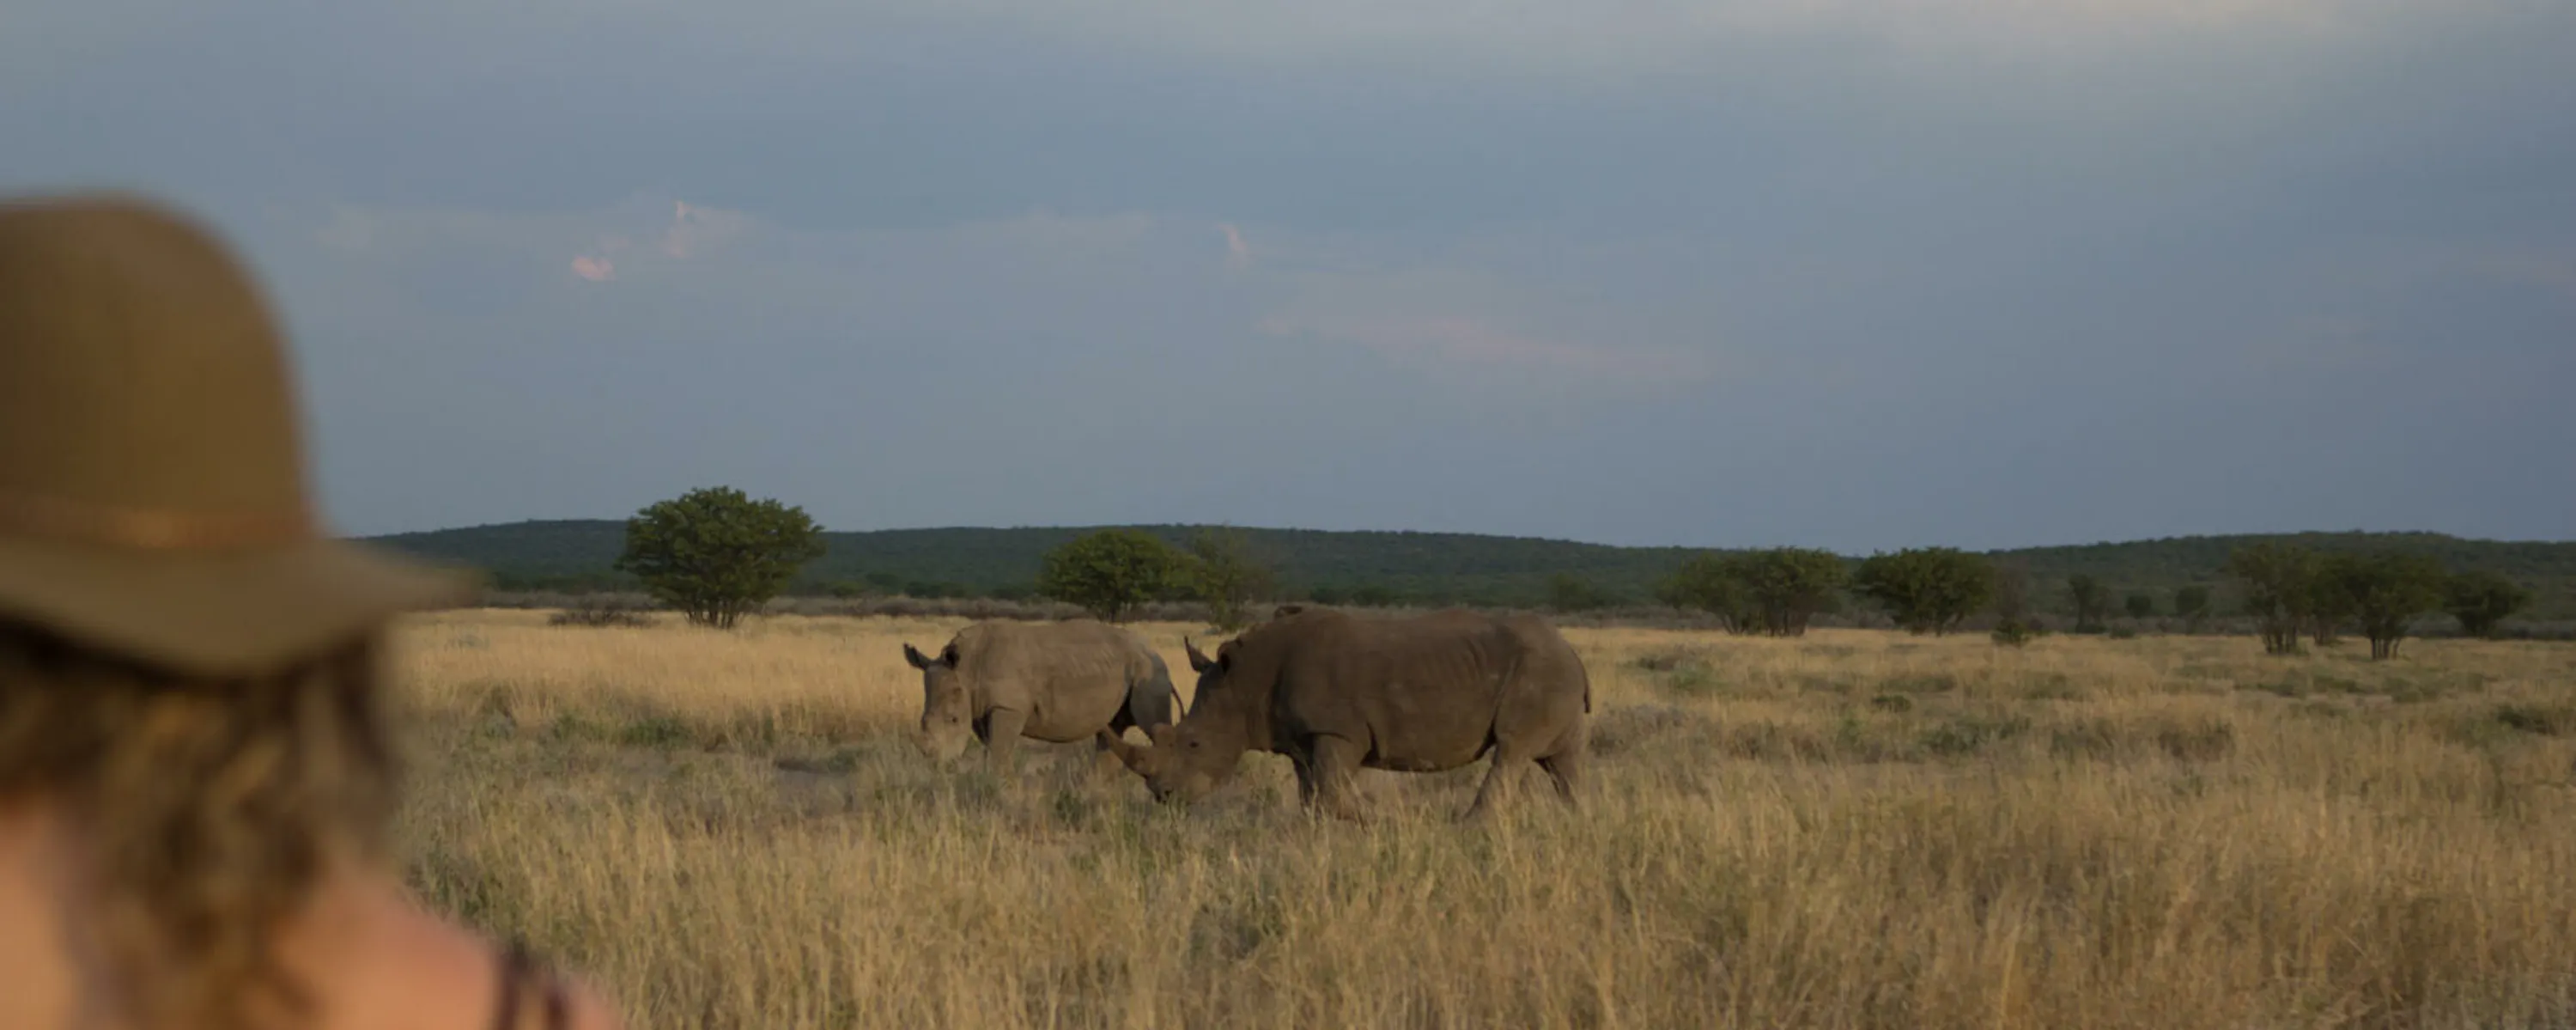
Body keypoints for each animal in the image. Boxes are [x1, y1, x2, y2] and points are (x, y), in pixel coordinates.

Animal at [901, 619, 1181, 774]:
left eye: (953, 720)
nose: (941, 766)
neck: (967, 667)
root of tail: (1155, 652)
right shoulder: (981, 707)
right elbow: (991, 749)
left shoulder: (1008, 707)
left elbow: (999, 751)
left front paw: (1003, 793)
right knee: (1112, 730)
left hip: (1150, 673)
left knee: (1152, 727)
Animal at [1097, 606, 1591, 819]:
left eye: (1195, 743)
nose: (1163, 796)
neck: (1244, 683)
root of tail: (1571, 649)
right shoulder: (1300, 737)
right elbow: (1312, 797)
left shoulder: (1338, 731)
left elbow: (1332, 794)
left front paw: (1386, 821)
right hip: (1553, 673)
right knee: (1561, 761)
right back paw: (1575, 822)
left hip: (1540, 672)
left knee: (1512, 750)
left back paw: (1468, 828)